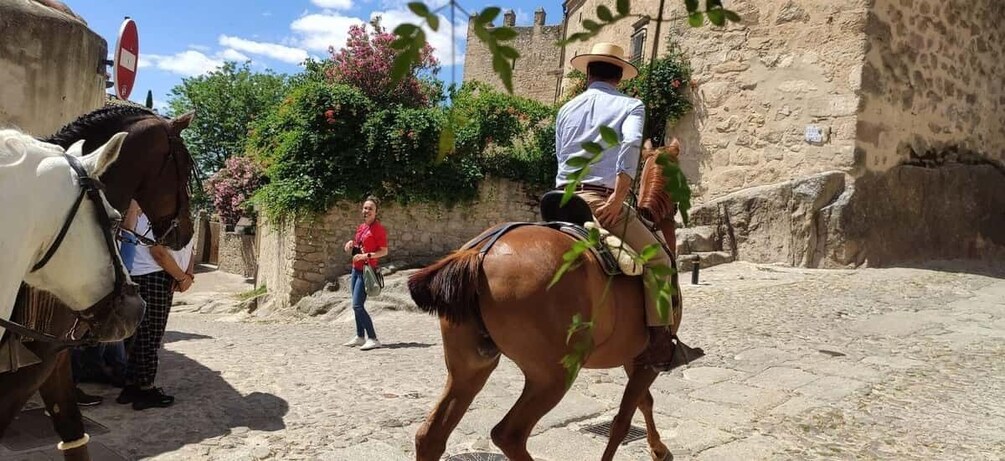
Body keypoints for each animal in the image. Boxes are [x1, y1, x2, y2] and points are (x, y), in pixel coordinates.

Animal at [404, 148, 695, 461]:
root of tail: (480, 252)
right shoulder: (648, 360)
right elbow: (622, 421)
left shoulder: (634, 357)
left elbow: (644, 403)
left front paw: (659, 450)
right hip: (552, 377)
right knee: (508, 434)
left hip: (469, 370)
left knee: (430, 437)